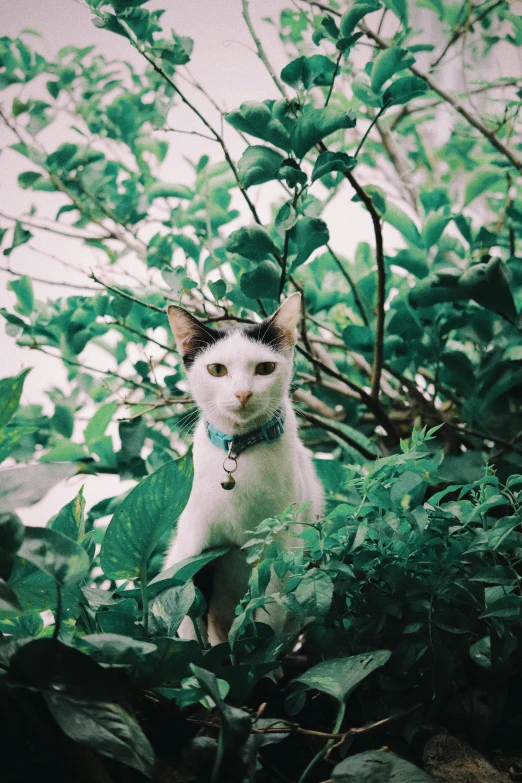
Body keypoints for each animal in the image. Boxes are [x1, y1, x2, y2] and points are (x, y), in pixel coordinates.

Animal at [166, 294, 320, 644]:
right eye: (216, 369)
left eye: (265, 368)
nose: (243, 393)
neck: (238, 450)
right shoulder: (194, 556)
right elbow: (191, 621)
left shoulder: (279, 552)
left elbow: (268, 617)